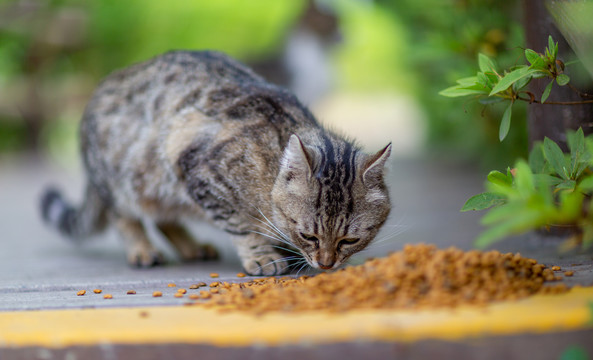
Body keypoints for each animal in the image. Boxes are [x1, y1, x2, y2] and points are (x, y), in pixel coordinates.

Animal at [41, 50, 394, 276]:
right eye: (309, 236)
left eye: (350, 240)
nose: (327, 263)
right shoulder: (194, 163)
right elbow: (241, 225)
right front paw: (262, 255)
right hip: (126, 181)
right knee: (126, 217)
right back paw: (142, 249)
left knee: (164, 218)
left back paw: (191, 246)